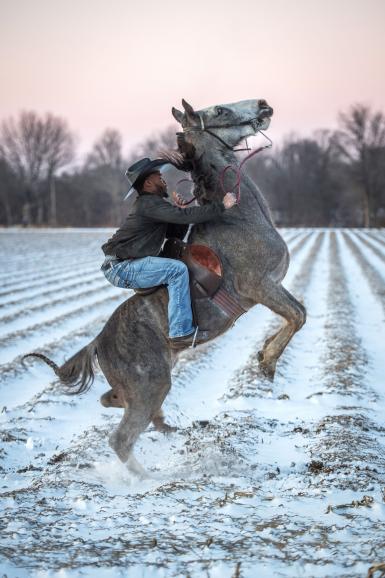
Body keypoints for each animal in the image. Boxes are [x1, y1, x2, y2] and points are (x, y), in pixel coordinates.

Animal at [24, 98, 306, 472]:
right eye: (219, 110)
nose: (263, 105)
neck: (237, 218)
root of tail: (98, 342)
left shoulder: (271, 288)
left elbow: (297, 314)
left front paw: (263, 354)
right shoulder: (261, 287)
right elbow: (298, 315)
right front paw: (267, 363)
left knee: (112, 402)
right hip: (152, 384)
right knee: (121, 438)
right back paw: (145, 478)